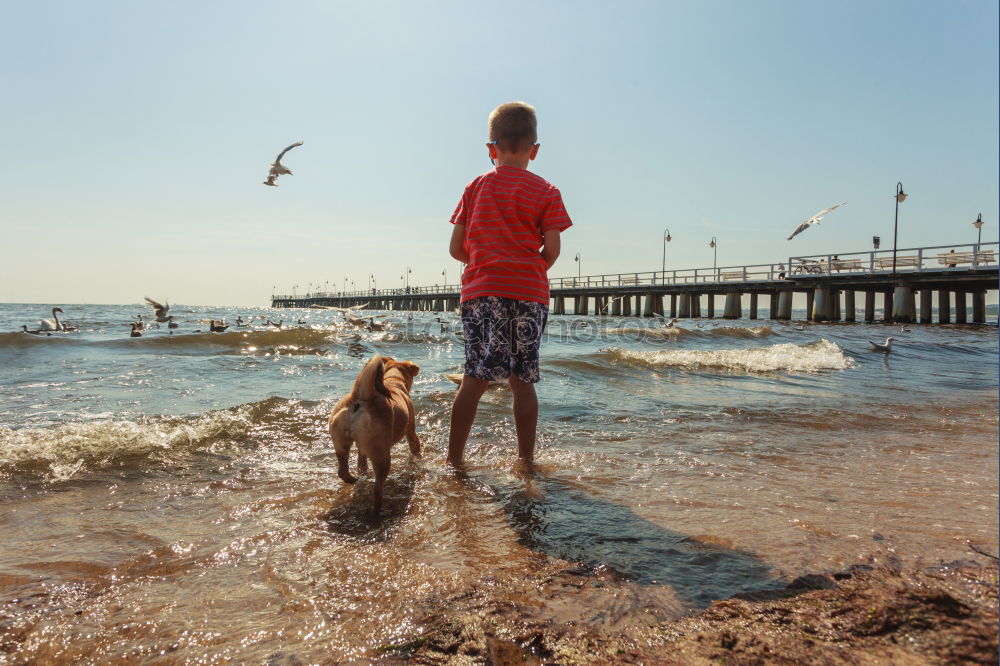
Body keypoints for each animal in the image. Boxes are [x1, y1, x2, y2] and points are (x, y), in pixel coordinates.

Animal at [330, 352, 420, 512]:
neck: (393, 382)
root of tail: (359, 400)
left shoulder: (362, 448)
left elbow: (361, 463)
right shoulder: (411, 432)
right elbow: (416, 449)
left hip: (341, 443)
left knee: (343, 470)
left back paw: (353, 480)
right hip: (382, 456)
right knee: (377, 489)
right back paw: (379, 510)